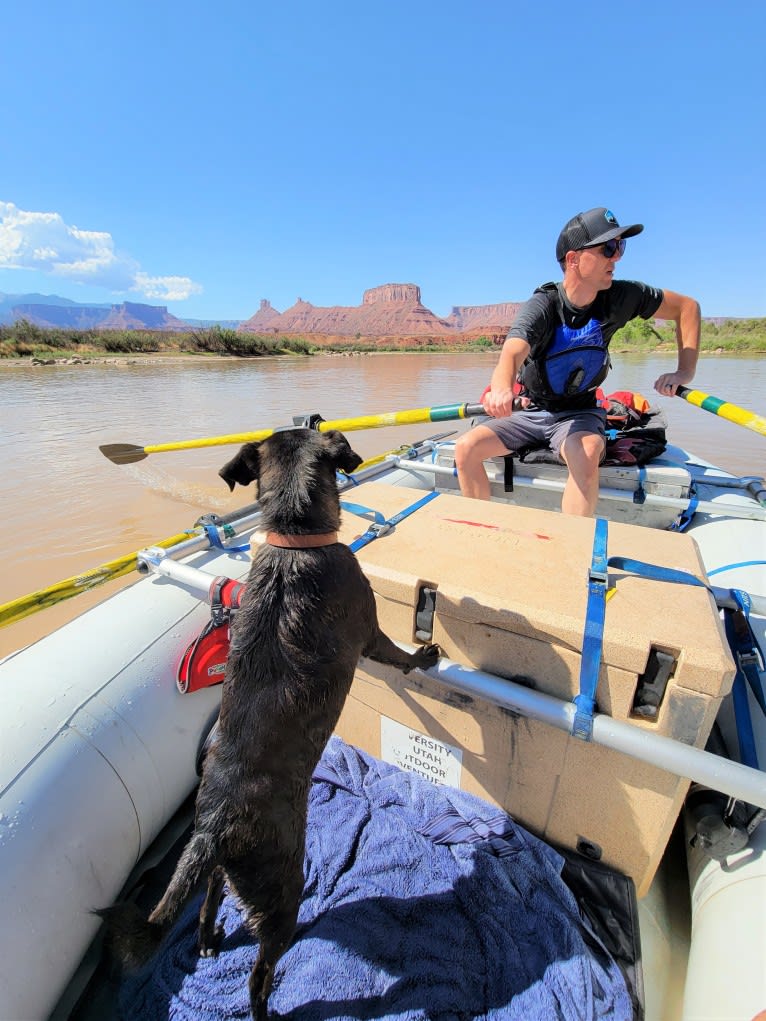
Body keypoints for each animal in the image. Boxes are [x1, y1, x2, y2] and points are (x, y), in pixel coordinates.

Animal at [99, 426, 441, 1016]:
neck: (293, 541)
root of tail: (213, 829)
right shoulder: (371, 633)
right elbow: (399, 655)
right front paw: (425, 657)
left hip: (223, 870)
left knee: (208, 897)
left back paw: (208, 939)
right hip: (281, 891)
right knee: (259, 972)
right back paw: (267, 1005)